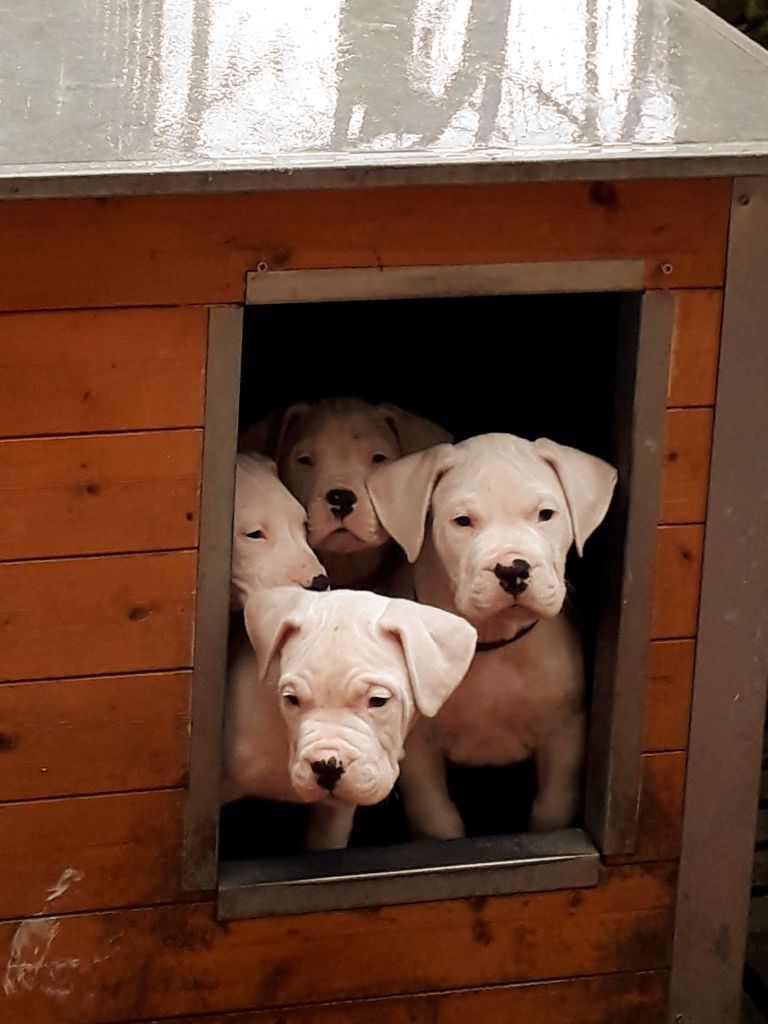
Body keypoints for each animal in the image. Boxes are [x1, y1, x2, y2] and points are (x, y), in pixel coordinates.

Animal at [368, 432, 618, 839]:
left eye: (546, 514)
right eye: (462, 521)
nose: (513, 569)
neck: (491, 640)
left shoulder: (565, 735)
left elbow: (551, 810)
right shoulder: (416, 749)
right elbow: (436, 818)